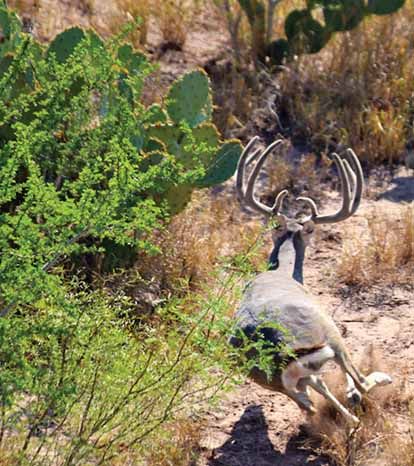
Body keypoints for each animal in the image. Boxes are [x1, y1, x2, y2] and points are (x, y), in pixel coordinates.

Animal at [231, 137, 392, 424]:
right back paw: (377, 382)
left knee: (309, 403)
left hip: (272, 380)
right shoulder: (329, 328)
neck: (282, 272)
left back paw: (350, 420)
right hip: (330, 334)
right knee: (358, 381)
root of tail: (279, 350)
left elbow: (318, 389)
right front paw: (354, 395)